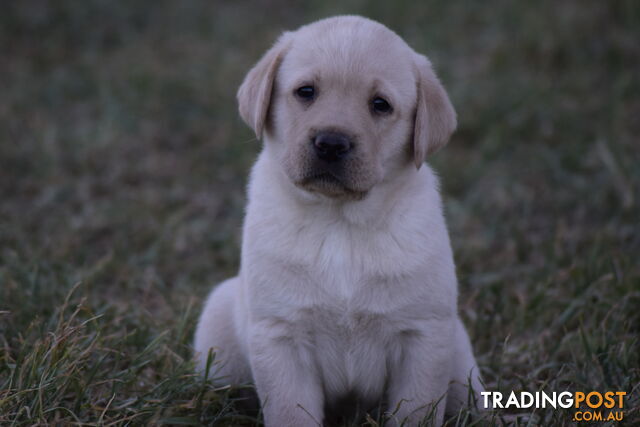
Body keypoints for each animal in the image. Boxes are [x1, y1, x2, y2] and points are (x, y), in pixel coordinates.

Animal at [192, 15, 482, 426]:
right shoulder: (280, 335)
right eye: (306, 92)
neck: (339, 222)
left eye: (380, 104)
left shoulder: (423, 336)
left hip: (459, 354)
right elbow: (290, 413)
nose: (331, 143)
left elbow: (415, 410)